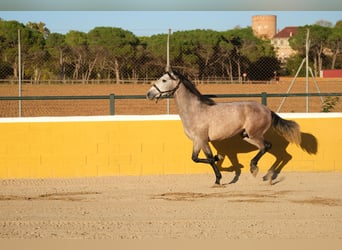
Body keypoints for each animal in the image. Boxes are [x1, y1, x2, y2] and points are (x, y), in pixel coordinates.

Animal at [146, 71, 300, 185]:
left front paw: (218, 179)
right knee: (270, 148)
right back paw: (266, 176)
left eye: (164, 80)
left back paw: (256, 169)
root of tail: (268, 110)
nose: (149, 94)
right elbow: (195, 158)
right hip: (247, 136)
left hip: (254, 134)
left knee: (267, 147)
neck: (195, 111)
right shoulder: (197, 141)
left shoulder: (202, 140)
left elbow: (208, 158)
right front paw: (218, 158)